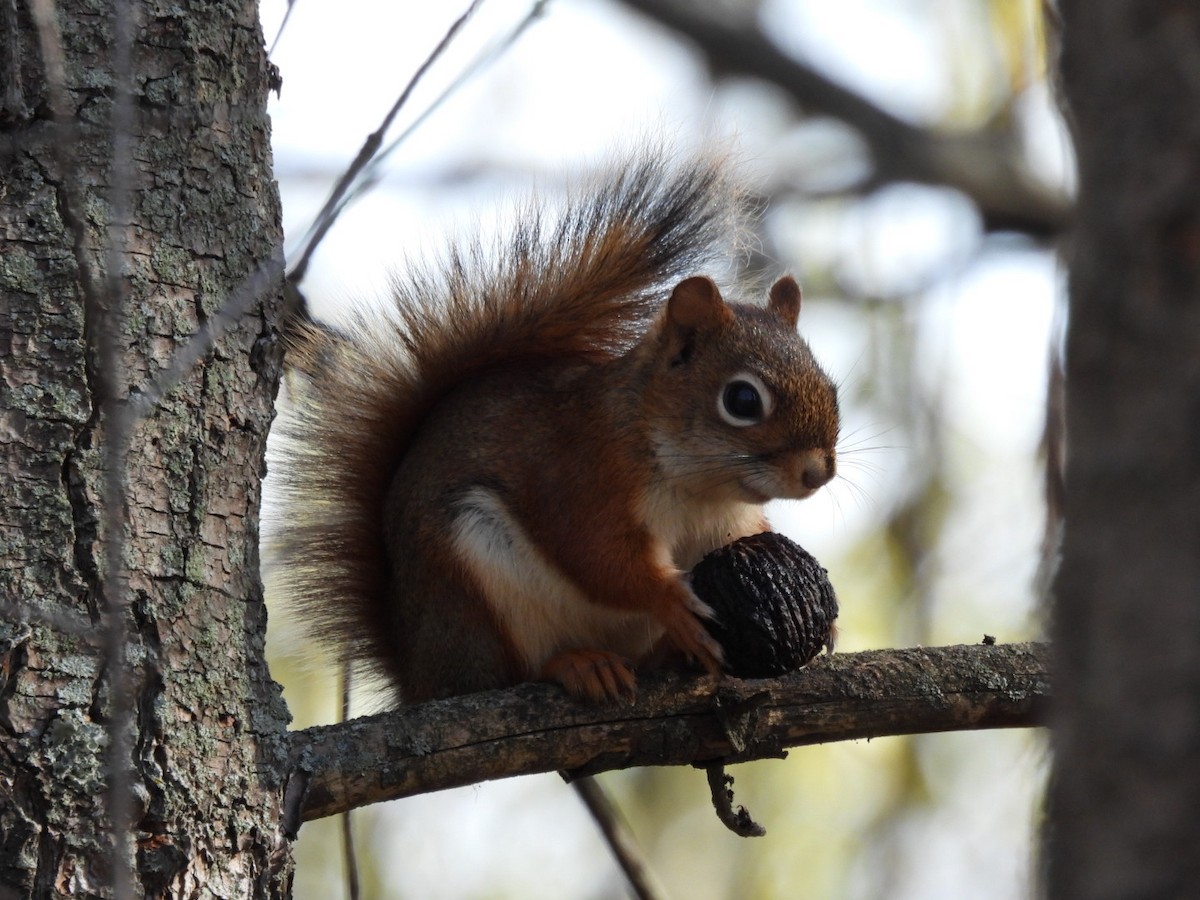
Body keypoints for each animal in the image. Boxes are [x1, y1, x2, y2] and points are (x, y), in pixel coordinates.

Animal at [267, 151, 840, 705]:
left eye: (830, 385)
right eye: (742, 400)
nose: (818, 474)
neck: (696, 485)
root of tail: (419, 677)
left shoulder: (726, 526)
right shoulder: (578, 475)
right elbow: (596, 556)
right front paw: (670, 600)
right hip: (475, 579)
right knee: (510, 674)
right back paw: (579, 665)